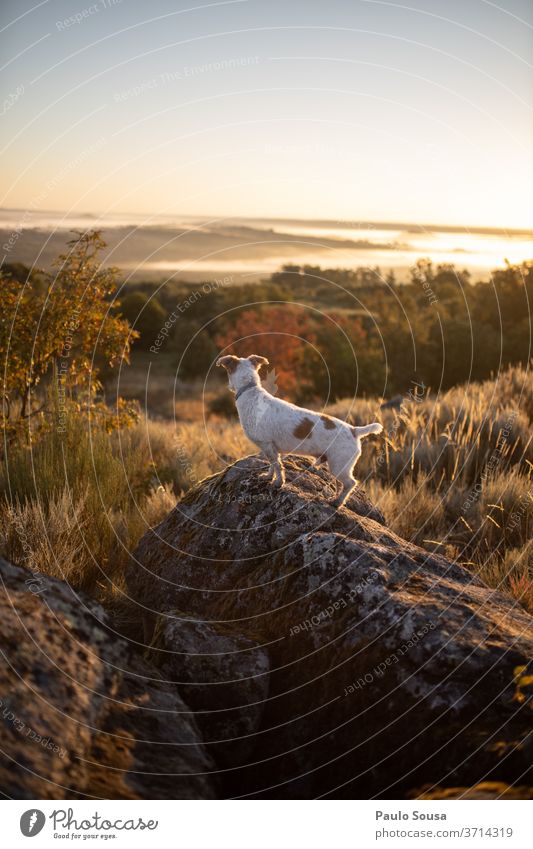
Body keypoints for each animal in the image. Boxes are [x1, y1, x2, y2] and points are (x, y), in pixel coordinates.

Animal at [216, 352, 382, 506]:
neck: (249, 390)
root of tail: (354, 430)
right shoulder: (271, 448)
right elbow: (273, 465)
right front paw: (268, 476)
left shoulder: (267, 445)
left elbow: (277, 466)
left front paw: (278, 483)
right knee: (341, 484)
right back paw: (335, 498)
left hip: (338, 465)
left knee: (350, 484)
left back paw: (337, 502)